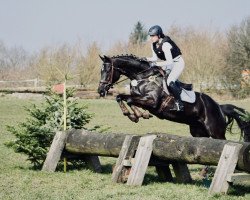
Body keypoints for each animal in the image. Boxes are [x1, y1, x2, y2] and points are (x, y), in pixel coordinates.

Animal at [97, 54, 250, 141]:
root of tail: (219, 107)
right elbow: (121, 97)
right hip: (198, 131)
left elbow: (128, 100)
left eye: (107, 70)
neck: (143, 76)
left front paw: (137, 115)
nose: (100, 90)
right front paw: (134, 115)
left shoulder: (152, 102)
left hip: (215, 131)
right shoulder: (138, 98)